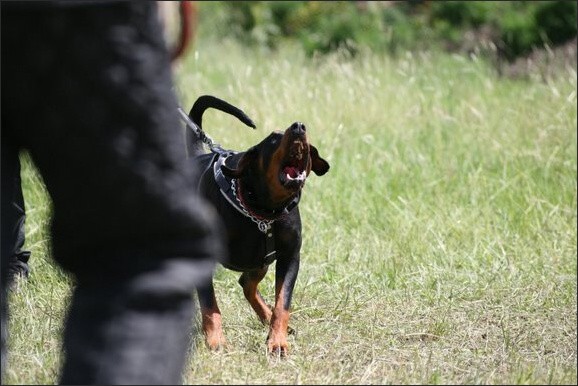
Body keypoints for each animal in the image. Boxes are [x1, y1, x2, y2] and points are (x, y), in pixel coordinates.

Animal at [184, 95, 328, 354]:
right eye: (273, 138)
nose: (299, 126)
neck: (264, 210)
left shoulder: (290, 257)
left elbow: (283, 303)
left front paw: (277, 341)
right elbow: (210, 306)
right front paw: (216, 340)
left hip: (261, 261)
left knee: (246, 282)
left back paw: (267, 316)